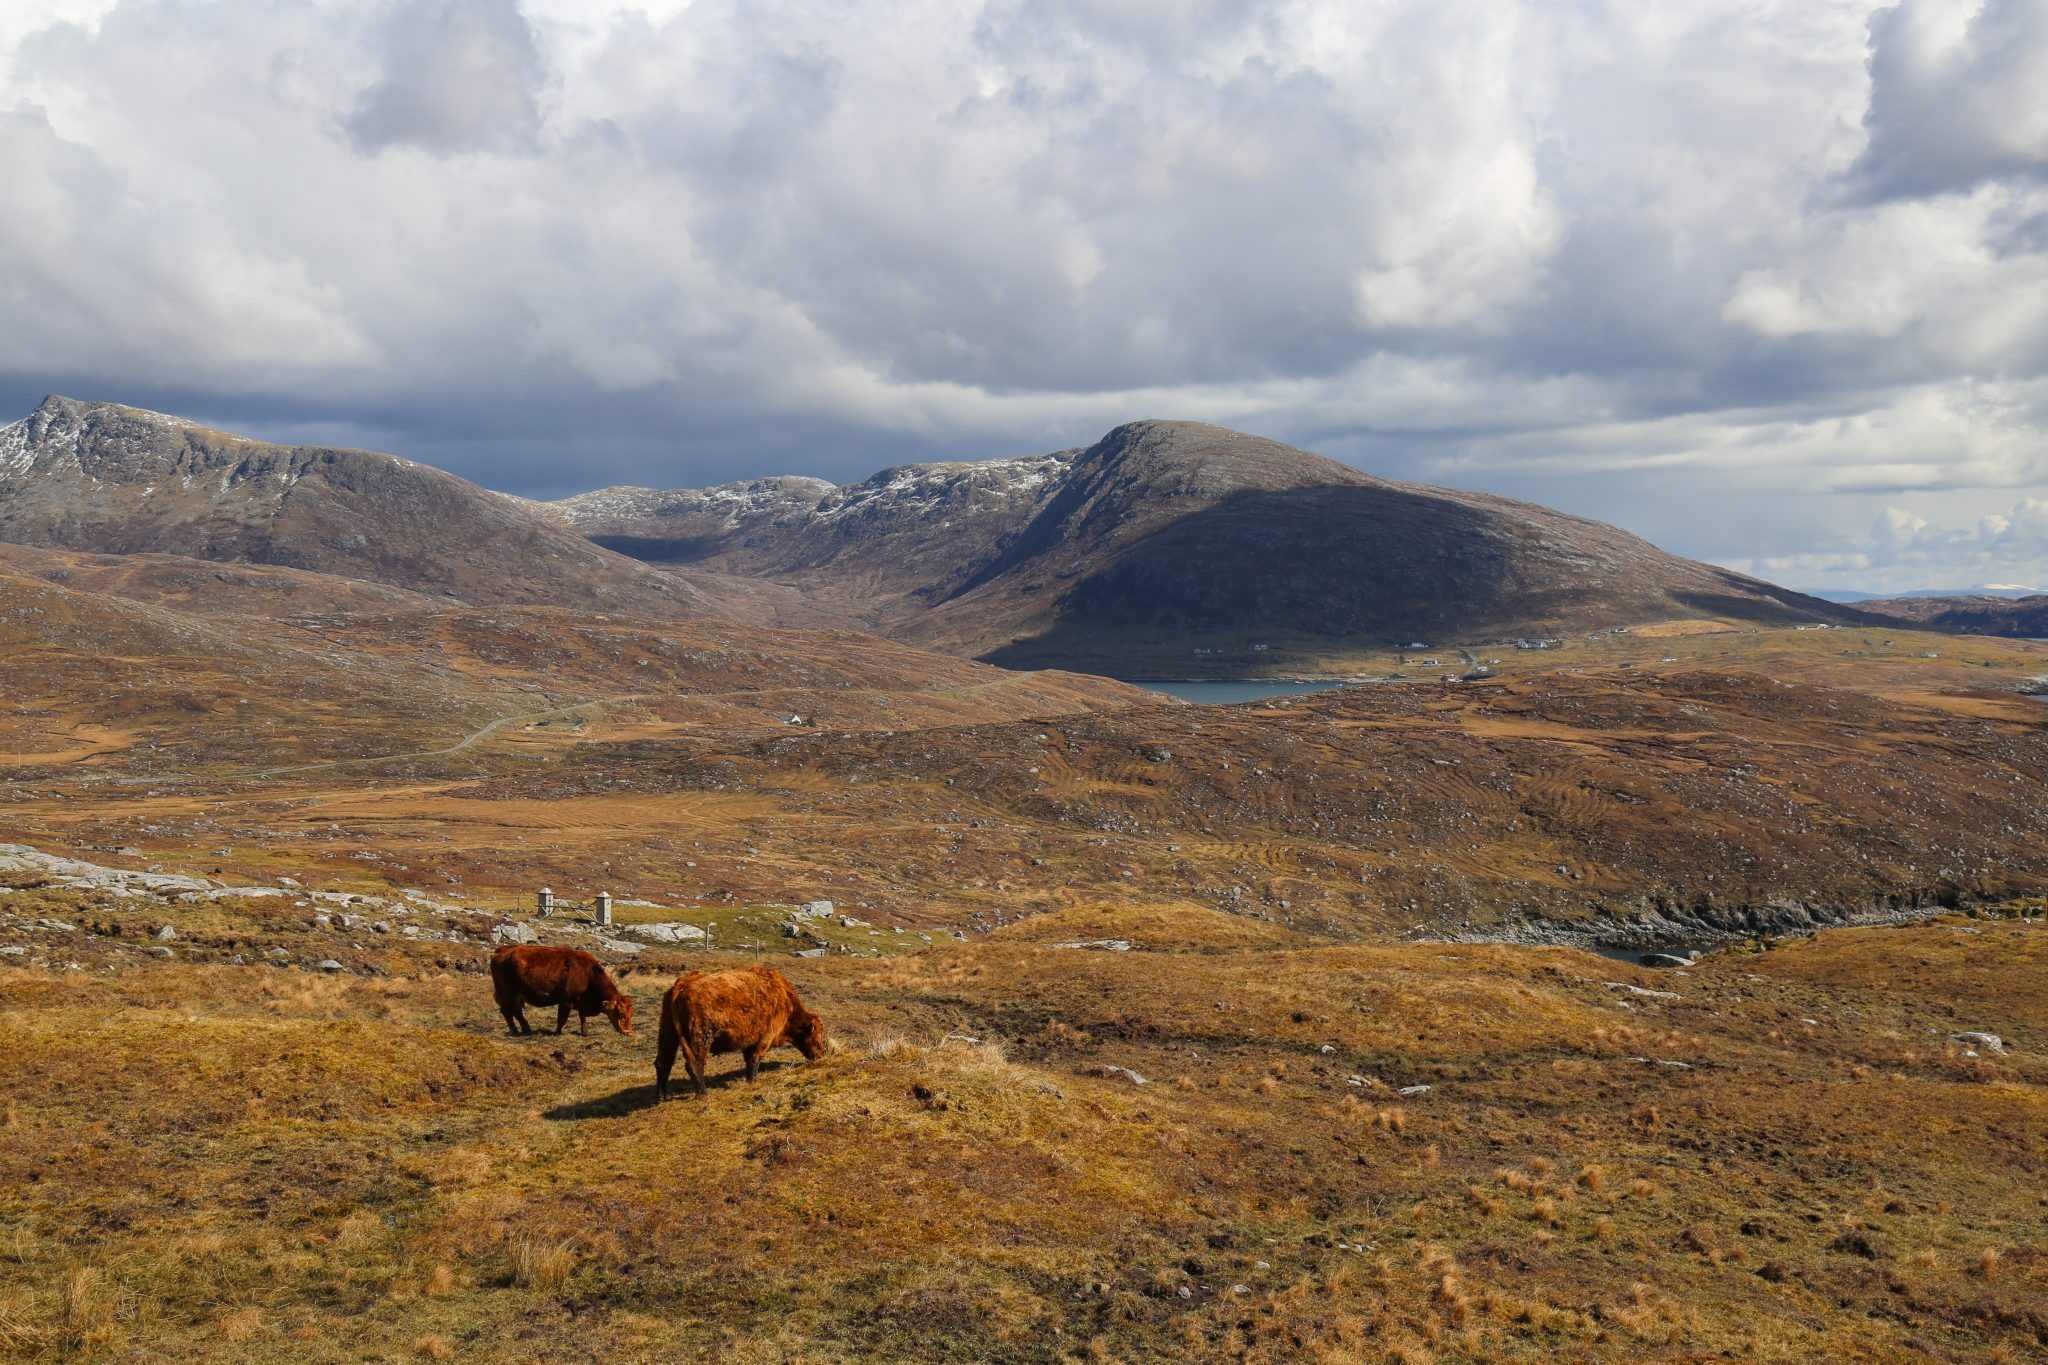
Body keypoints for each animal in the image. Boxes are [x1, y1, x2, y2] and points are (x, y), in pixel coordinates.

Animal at [490, 944, 634, 1037]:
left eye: (631, 1014)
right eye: (621, 1014)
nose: (628, 1032)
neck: (587, 973)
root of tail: (500, 951)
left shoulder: (580, 1001)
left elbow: (582, 1017)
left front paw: (584, 1031)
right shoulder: (566, 1001)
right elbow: (562, 1019)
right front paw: (557, 1032)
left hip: (516, 996)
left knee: (516, 1012)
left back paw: (526, 1029)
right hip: (506, 994)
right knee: (508, 1012)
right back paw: (515, 1031)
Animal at [655, 965, 827, 1099]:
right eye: (819, 1034)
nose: (822, 1053)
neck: (785, 1000)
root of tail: (681, 984)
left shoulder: (749, 1039)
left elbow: (749, 1059)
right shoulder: (765, 1038)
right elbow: (754, 1059)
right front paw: (753, 1081)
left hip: (668, 1033)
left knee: (663, 1063)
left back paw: (661, 1097)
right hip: (700, 1036)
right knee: (694, 1063)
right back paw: (702, 1093)